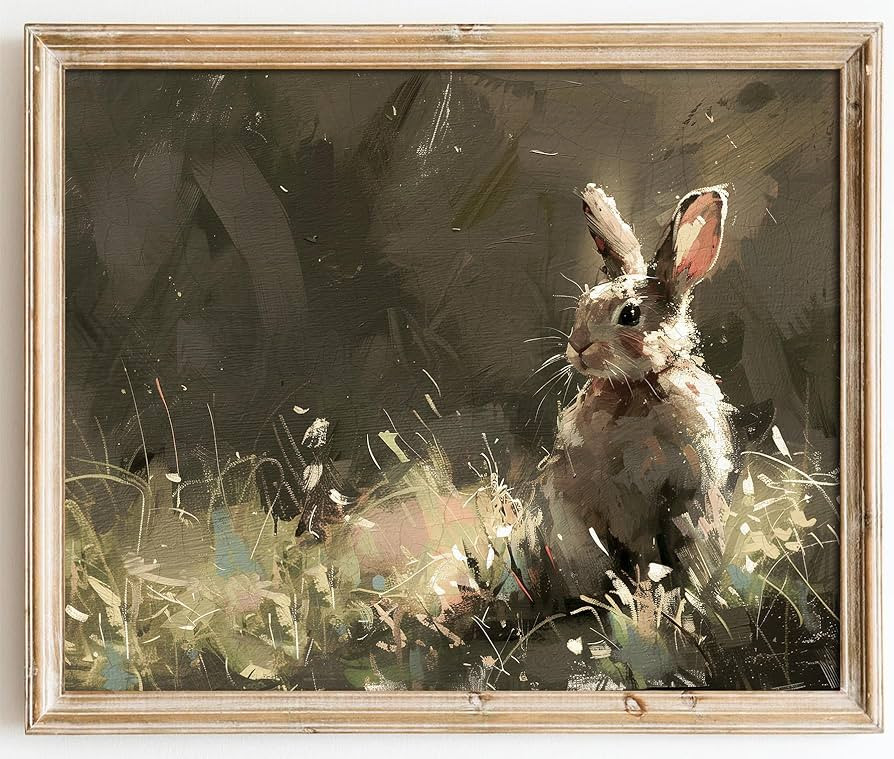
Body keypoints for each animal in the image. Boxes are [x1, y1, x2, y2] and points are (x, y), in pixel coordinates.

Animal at [539, 183, 737, 596]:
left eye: (629, 315)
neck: (638, 386)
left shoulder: (687, 495)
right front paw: (648, 596)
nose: (578, 347)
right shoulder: (618, 504)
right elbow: (641, 553)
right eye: (583, 305)